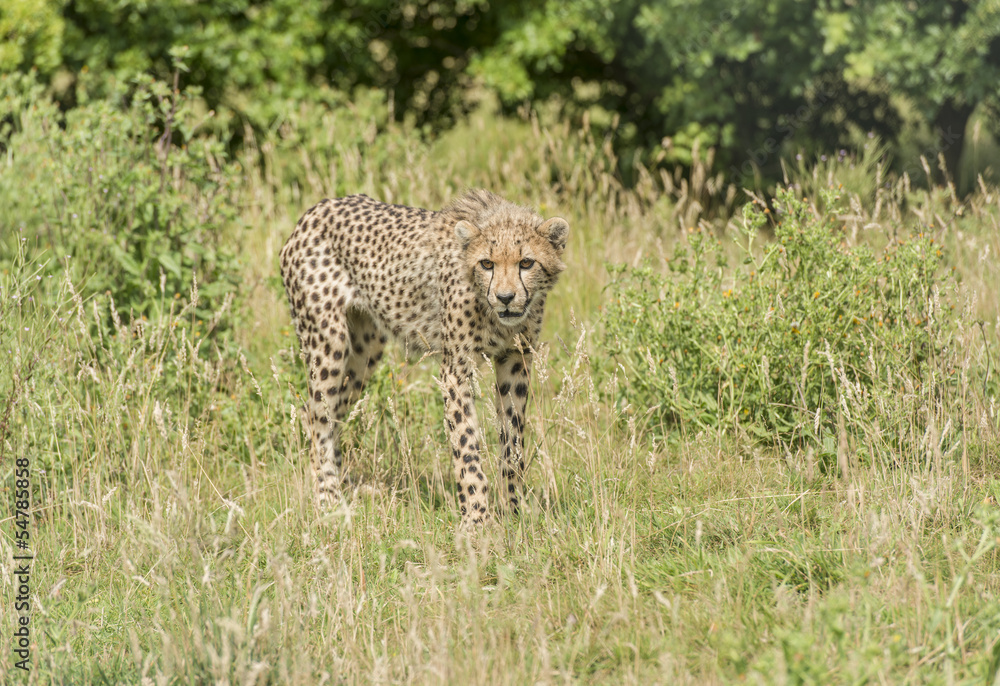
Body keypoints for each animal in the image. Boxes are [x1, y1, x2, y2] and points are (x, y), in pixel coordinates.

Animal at [279, 190, 569, 526]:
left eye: (526, 262)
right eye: (487, 263)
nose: (506, 298)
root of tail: (318, 207)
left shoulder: (515, 360)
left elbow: (513, 442)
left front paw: (515, 510)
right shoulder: (455, 369)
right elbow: (466, 445)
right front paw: (476, 519)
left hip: (364, 352)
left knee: (327, 412)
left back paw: (346, 488)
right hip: (329, 342)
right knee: (318, 417)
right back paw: (328, 500)